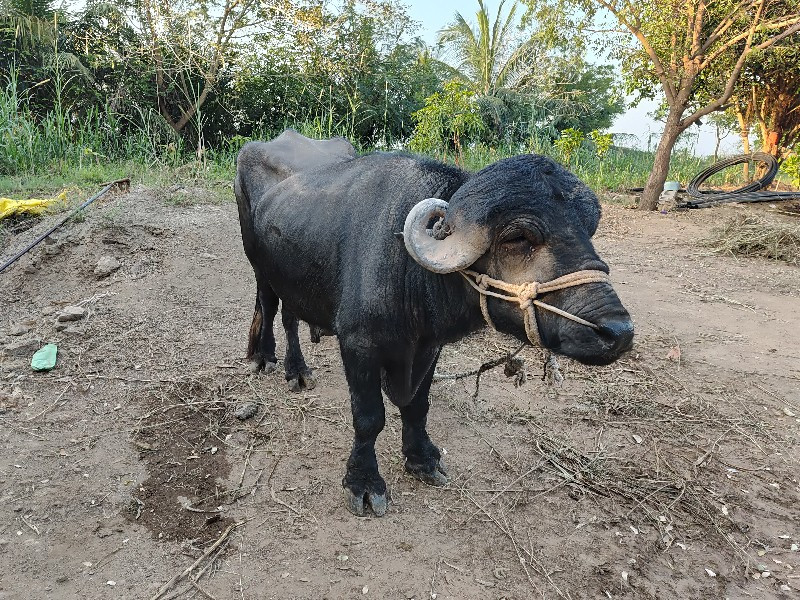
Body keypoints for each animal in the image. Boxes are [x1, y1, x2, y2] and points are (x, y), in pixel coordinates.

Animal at [234, 130, 636, 516]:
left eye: (589, 230)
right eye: (518, 236)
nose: (618, 332)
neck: (406, 266)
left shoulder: (428, 345)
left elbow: (417, 405)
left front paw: (422, 459)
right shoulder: (358, 344)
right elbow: (369, 417)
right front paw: (364, 482)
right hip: (260, 266)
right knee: (273, 308)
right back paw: (283, 364)